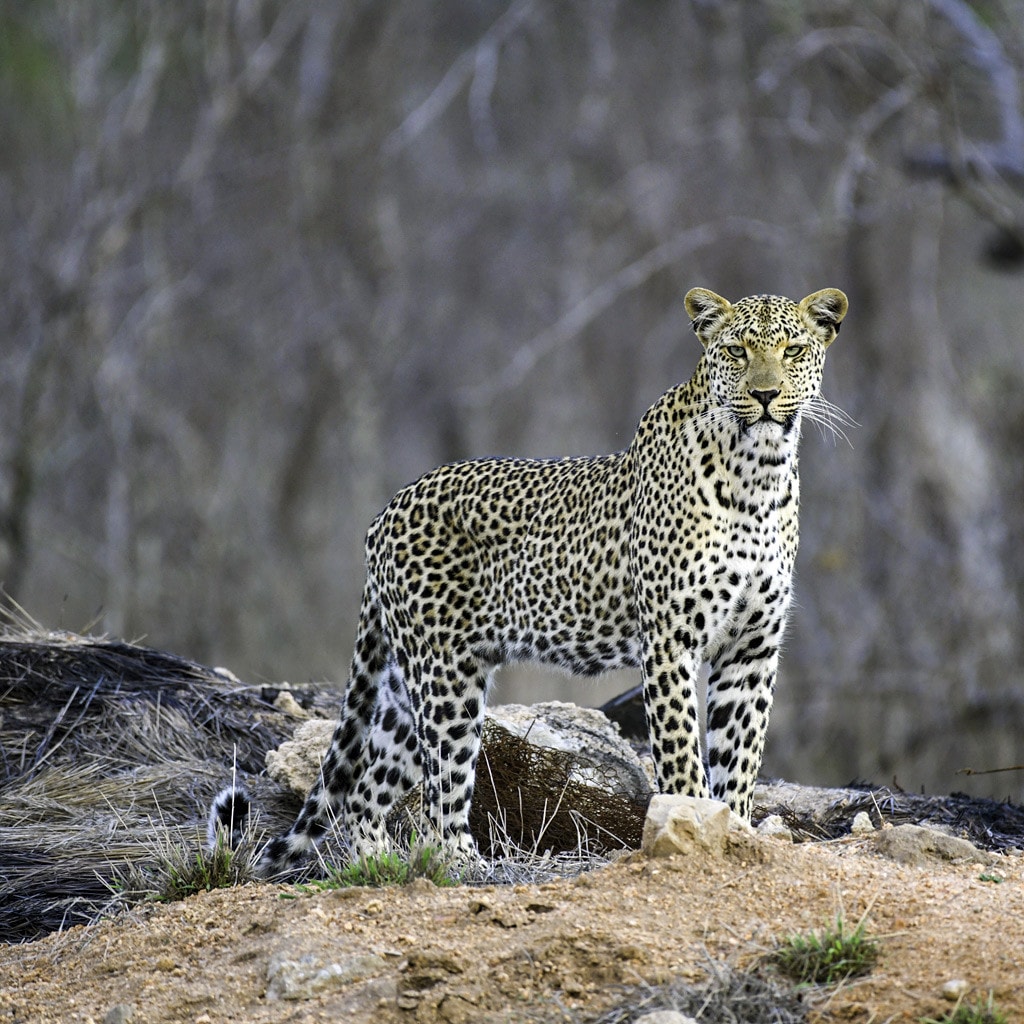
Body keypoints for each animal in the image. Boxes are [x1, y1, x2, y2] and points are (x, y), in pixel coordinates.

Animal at [210, 286, 848, 875]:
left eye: (793, 350)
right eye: (737, 351)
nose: (765, 396)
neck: (758, 477)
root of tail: (386, 510)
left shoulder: (750, 648)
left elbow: (740, 756)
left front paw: (734, 831)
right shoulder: (671, 640)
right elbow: (683, 755)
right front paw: (692, 824)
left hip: (403, 686)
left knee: (368, 792)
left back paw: (379, 869)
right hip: (447, 679)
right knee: (441, 793)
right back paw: (468, 869)